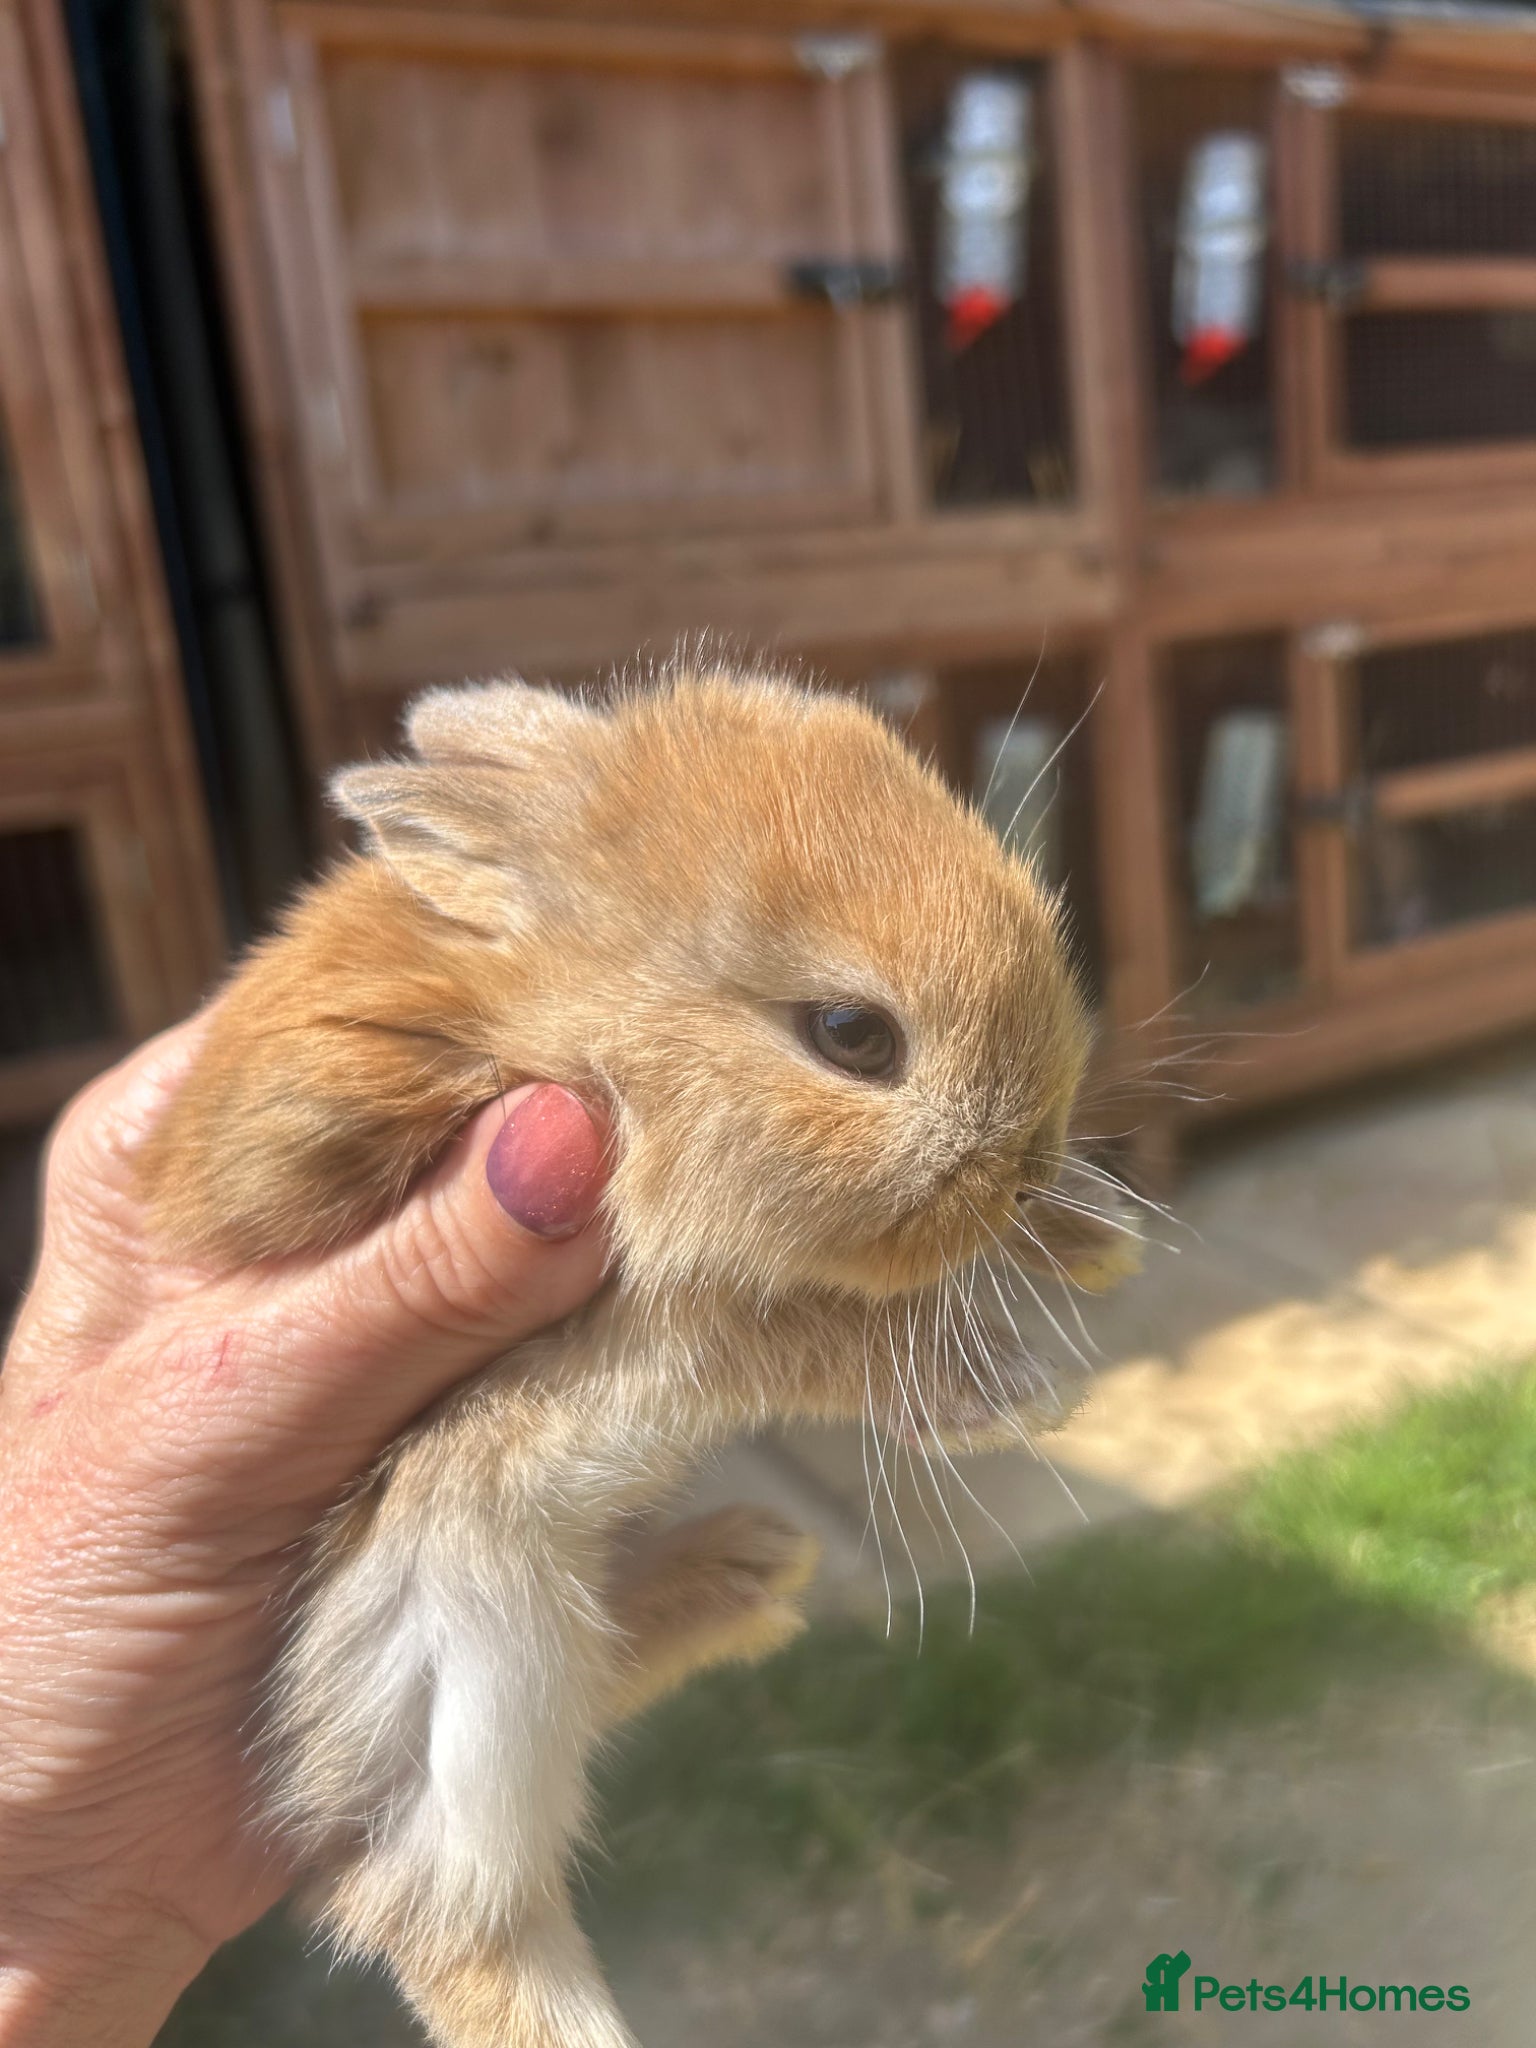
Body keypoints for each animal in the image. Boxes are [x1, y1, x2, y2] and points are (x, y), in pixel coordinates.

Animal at [136, 663, 1141, 2048]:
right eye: (852, 1033)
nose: (1034, 1156)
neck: (587, 1033)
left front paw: (1098, 1236)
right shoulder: (681, 1311)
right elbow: (820, 1332)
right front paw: (1011, 1389)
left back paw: (752, 1567)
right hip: (450, 1637)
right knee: (437, 1908)